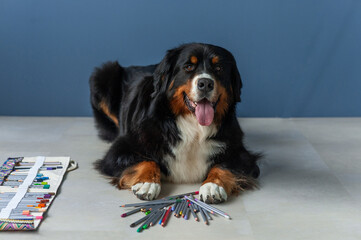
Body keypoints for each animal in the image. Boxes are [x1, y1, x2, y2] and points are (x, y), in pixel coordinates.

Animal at [89, 42, 258, 202]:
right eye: (188, 66)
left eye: (218, 68)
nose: (205, 83)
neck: (194, 128)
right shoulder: (120, 149)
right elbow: (147, 161)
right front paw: (147, 183)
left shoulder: (240, 153)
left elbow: (223, 165)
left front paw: (212, 186)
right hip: (104, 75)